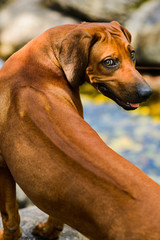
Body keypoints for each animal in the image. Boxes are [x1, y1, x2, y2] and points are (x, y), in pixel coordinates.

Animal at [0, 21, 160, 240]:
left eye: (132, 54)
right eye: (109, 62)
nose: (147, 93)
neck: (40, 60)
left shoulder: (2, 166)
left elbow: (11, 218)